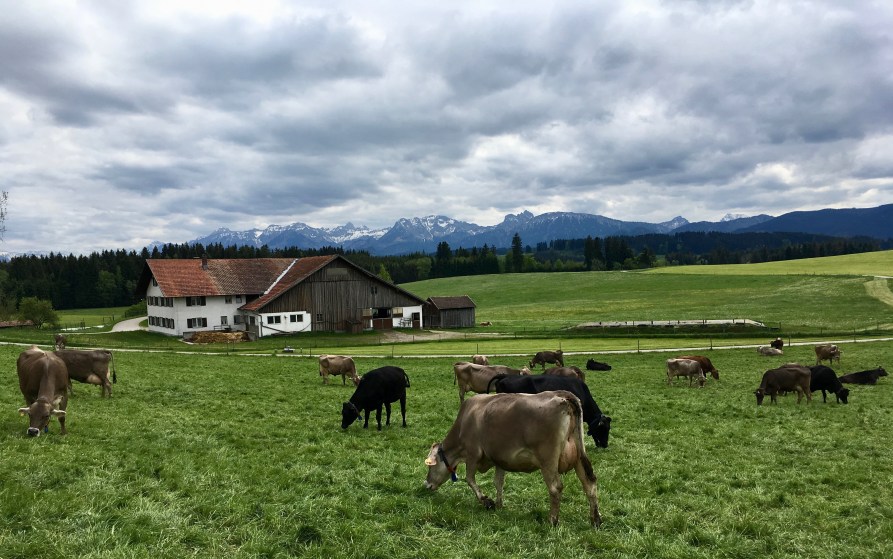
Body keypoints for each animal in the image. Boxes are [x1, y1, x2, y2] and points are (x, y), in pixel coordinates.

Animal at [424, 391, 602, 528]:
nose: (426, 484)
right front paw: (499, 504)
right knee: (589, 483)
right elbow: (498, 482)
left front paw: (486, 501)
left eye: (429, 466)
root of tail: (562, 395)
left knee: (555, 487)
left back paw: (552, 520)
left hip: (548, 460)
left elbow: (469, 479)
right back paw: (595, 519)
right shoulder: (499, 459)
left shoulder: (473, 453)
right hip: (579, 456)